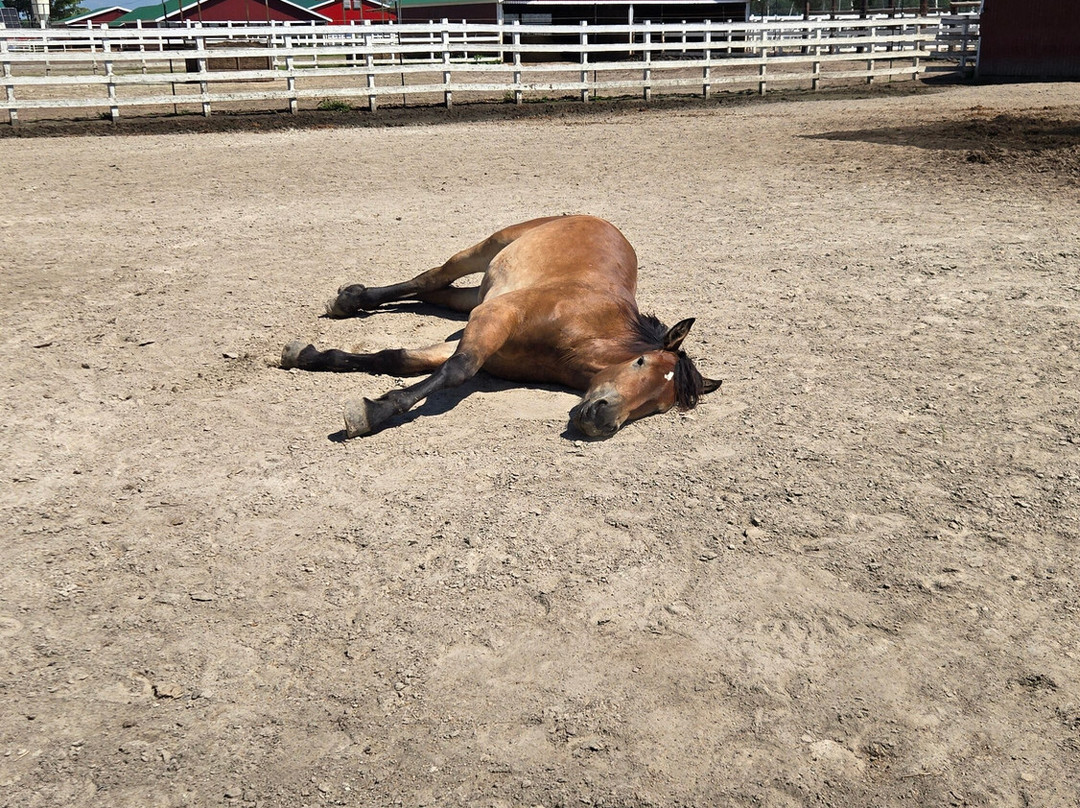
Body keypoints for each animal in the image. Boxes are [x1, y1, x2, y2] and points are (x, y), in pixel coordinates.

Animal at [281, 215, 721, 438]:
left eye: (659, 405)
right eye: (641, 363)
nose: (601, 420)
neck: (583, 331)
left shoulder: (478, 331)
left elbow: (398, 358)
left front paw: (309, 355)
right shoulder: (493, 319)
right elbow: (457, 370)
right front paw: (372, 412)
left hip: (477, 294)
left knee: (436, 294)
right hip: (484, 249)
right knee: (429, 279)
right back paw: (349, 301)